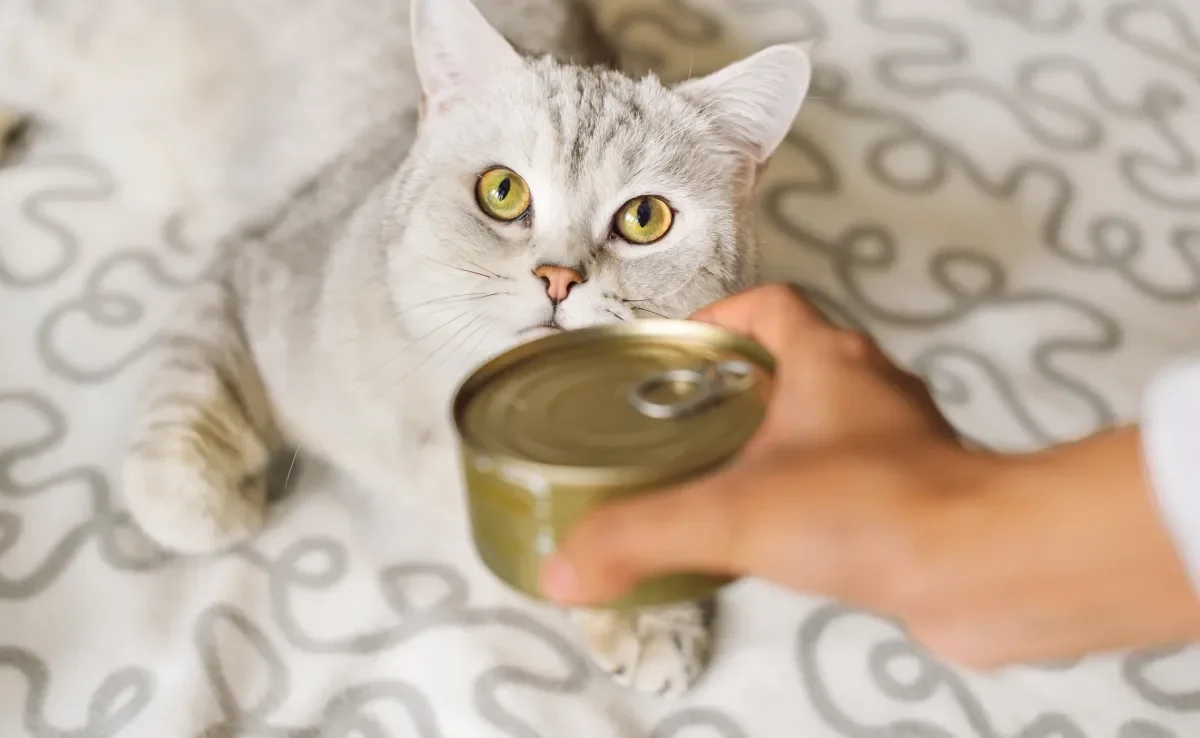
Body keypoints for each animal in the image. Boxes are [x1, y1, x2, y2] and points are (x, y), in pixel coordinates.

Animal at [2, 0, 816, 700]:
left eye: (645, 218)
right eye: (502, 191)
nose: (559, 278)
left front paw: (646, 615)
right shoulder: (240, 278)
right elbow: (177, 483)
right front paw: (237, 507)